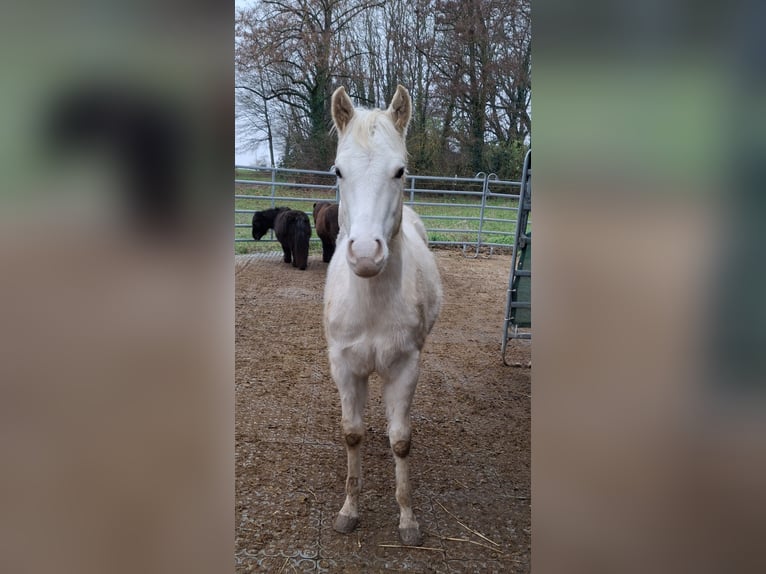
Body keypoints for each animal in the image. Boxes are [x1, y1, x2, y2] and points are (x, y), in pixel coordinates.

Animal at [324, 86, 444, 548]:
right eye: (338, 171)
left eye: (400, 171)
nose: (364, 254)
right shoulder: (343, 365)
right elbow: (352, 434)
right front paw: (348, 511)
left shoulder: (405, 366)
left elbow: (401, 441)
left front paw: (408, 520)